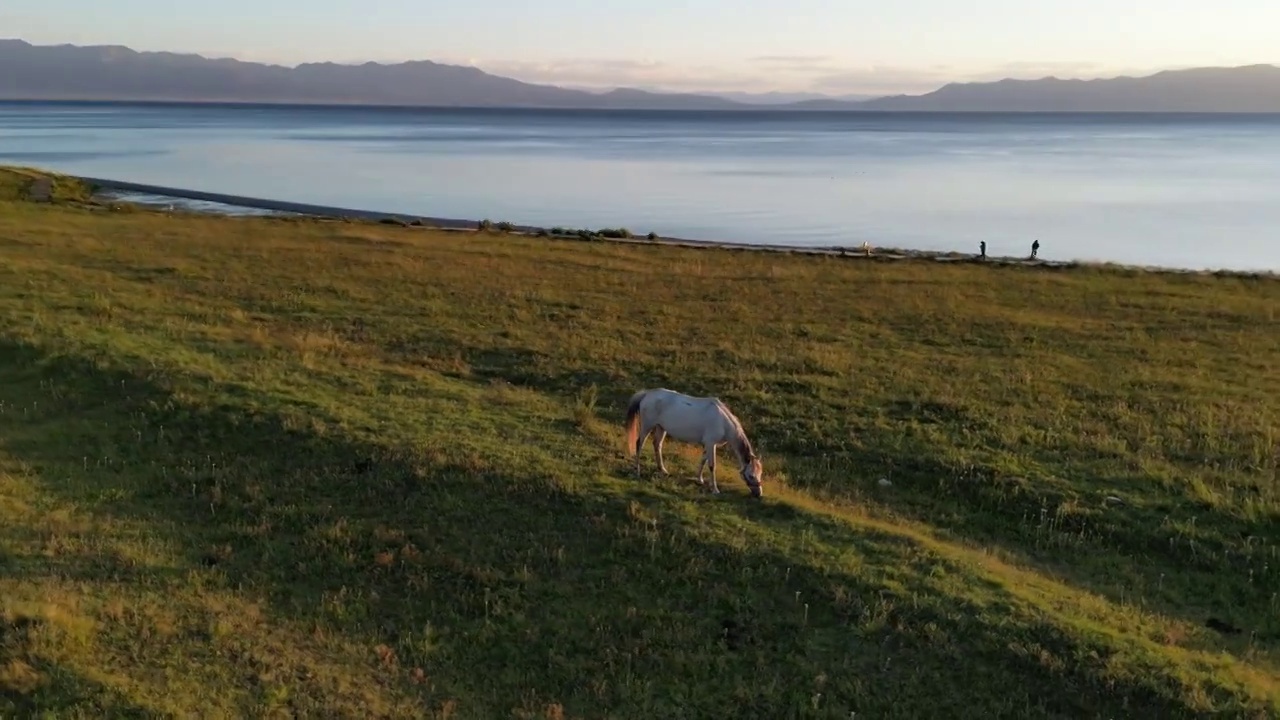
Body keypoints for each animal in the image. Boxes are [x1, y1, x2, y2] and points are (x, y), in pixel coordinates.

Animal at [624, 389, 762, 497]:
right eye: (751, 475)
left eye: (760, 473)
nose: (758, 493)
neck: (723, 422)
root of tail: (647, 394)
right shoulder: (711, 443)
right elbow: (712, 465)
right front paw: (715, 489)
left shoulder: (708, 444)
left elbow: (703, 460)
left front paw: (699, 479)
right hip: (647, 426)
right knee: (639, 444)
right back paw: (637, 470)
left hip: (660, 428)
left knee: (657, 445)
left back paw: (662, 469)